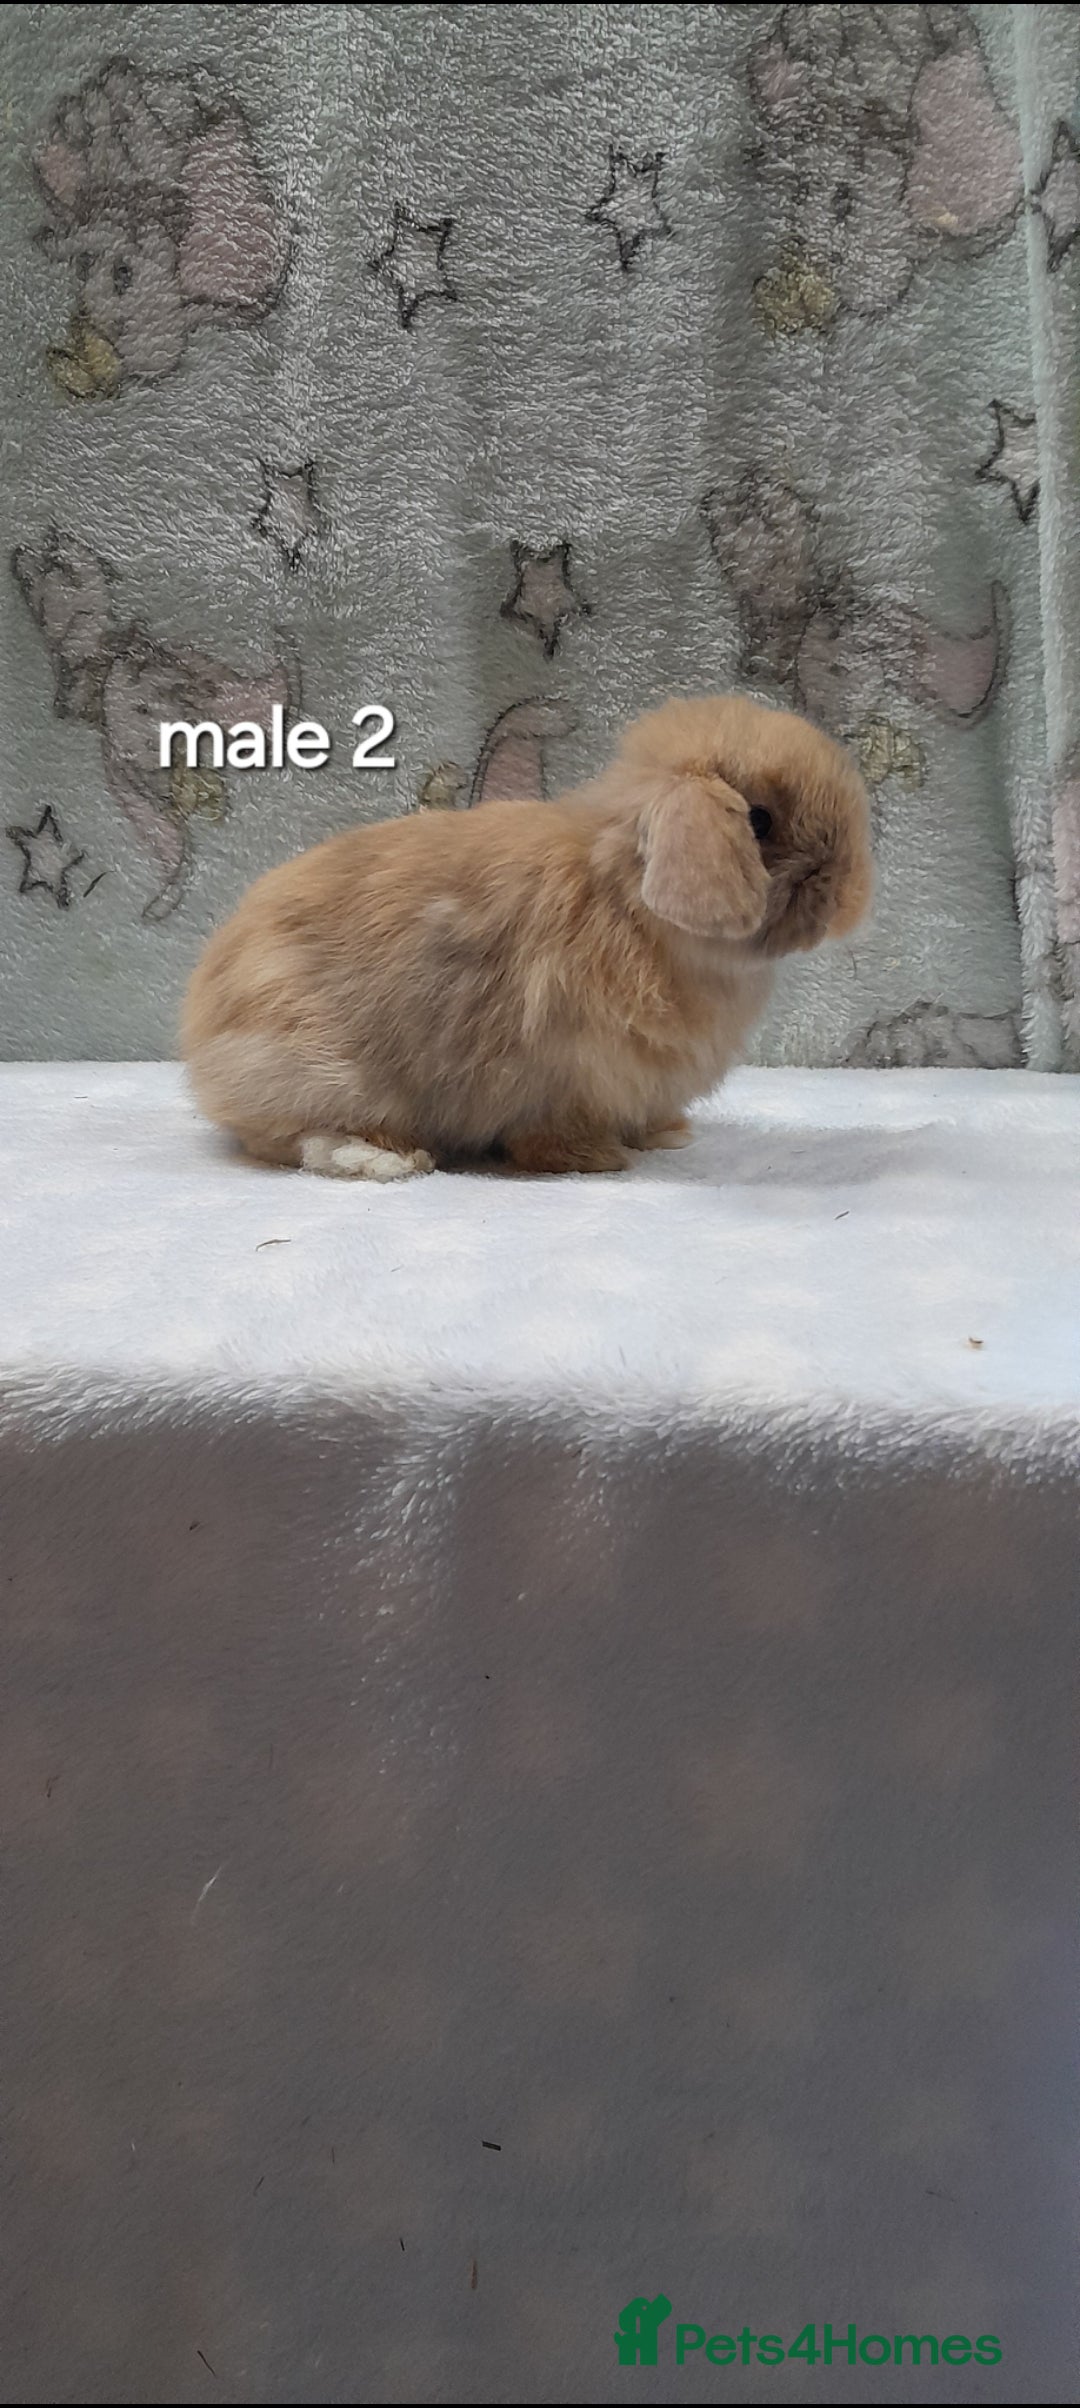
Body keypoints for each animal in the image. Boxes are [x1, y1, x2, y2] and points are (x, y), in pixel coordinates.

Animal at [181, 693, 871, 1179]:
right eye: (759, 820)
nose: (849, 898)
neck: (628, 901)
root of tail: (201, 1031)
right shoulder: (563, 1076)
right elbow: (547, 1136)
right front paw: (598, 1160)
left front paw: (665, 1133)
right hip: (317, 1070)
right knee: (298, 1139)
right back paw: (388, 1160)